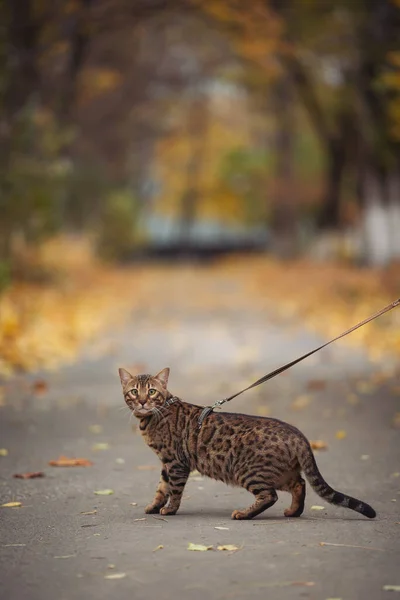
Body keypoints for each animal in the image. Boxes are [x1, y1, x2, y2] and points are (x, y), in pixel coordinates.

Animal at [119, 366, 376, 520]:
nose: (142, 402)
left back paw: (244, 514)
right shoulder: (166, 463)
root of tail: (298, 434)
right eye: (134, 392)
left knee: (270, 496)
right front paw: (154, 506)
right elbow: (161, 488)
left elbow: (174, 490)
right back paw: (293, 511)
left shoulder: (176, 462)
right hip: (280, 472)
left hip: (248, 471)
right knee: (300, 484)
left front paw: (170, 509)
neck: (151, 418)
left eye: (152, 392)